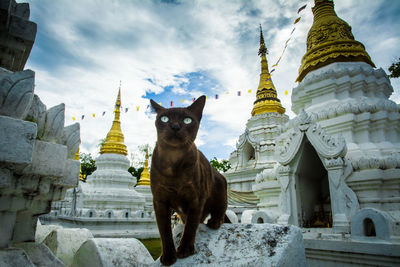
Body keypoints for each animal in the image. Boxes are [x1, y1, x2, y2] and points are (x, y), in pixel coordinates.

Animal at [149, 96, 228, 266]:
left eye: (187, 120)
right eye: (164, 119)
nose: (175, 126)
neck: (173, 163)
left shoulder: (196, 198)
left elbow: (191, 227)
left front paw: (184, 250)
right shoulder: (159, 201)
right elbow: (165, 232)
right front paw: (168, 257)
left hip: (220, 185)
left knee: (220, 210)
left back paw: (214, 222)